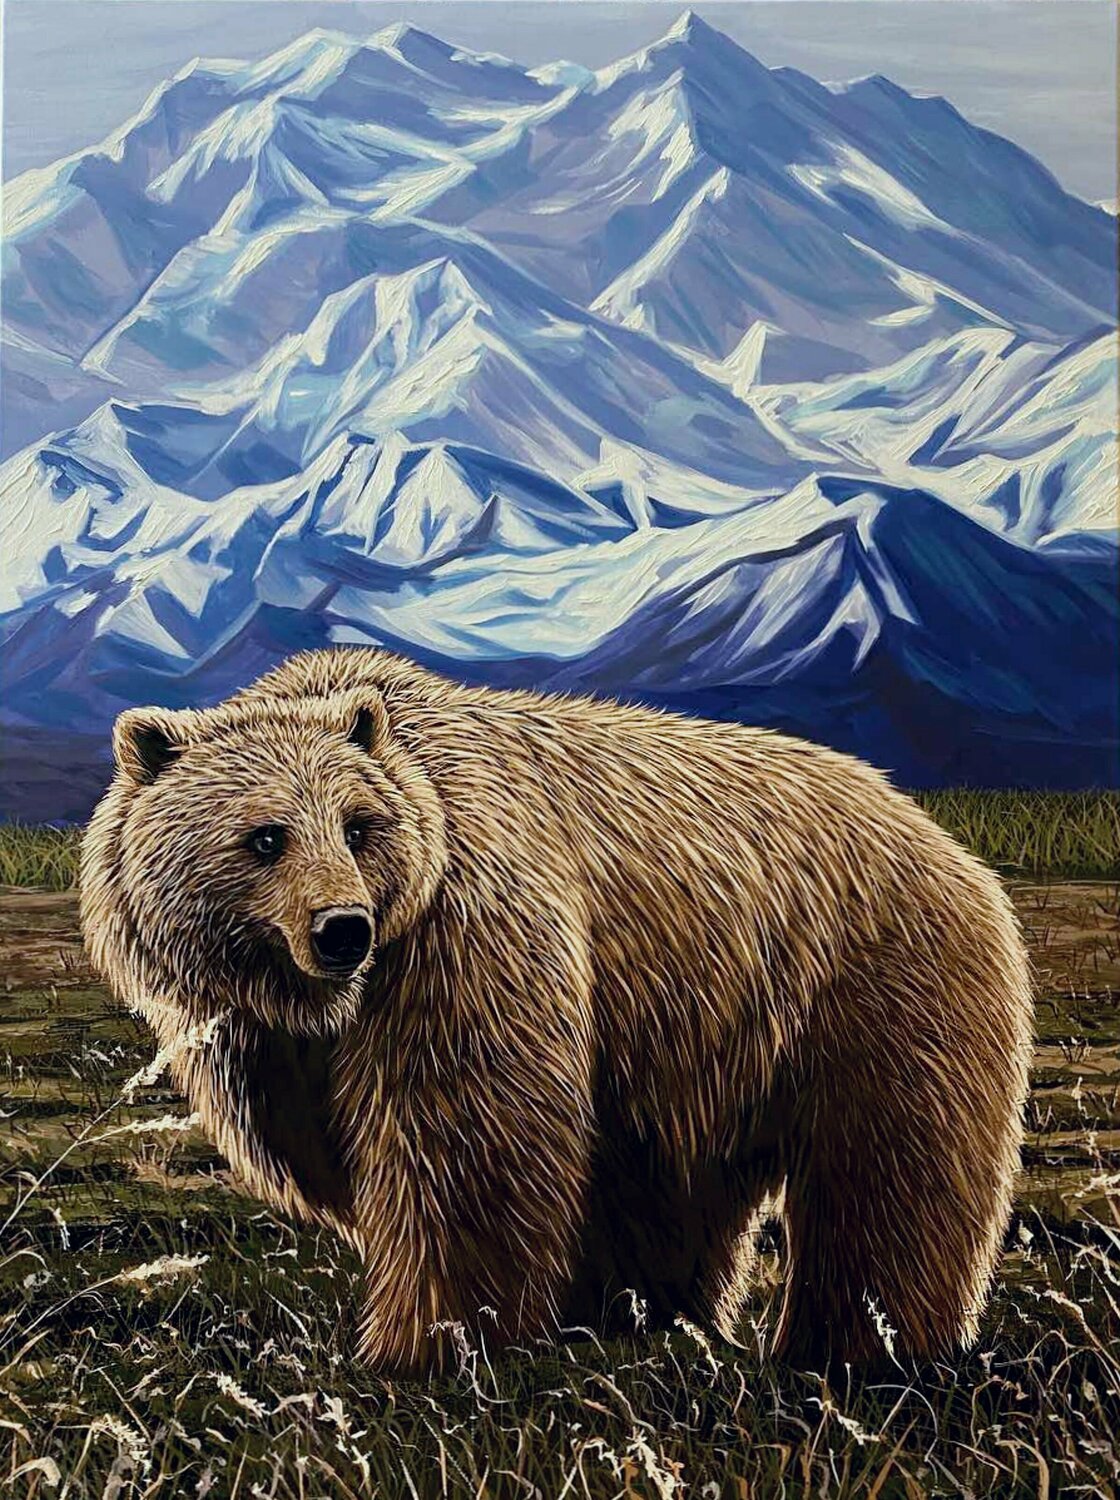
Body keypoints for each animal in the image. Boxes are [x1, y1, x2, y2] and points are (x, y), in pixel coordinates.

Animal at [81, 646, 1033, 1375]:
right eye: (266, 836)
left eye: (358, 826)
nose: (342, 928)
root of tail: (941, 837)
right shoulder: (262, 1039)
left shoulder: (465, 934)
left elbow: (461, 1148)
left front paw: (424, 1347)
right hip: (694, 1041)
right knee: (666, 1189)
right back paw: (648, 1319)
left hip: (868, 985)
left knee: (888, 1178)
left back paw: (859, 1346)